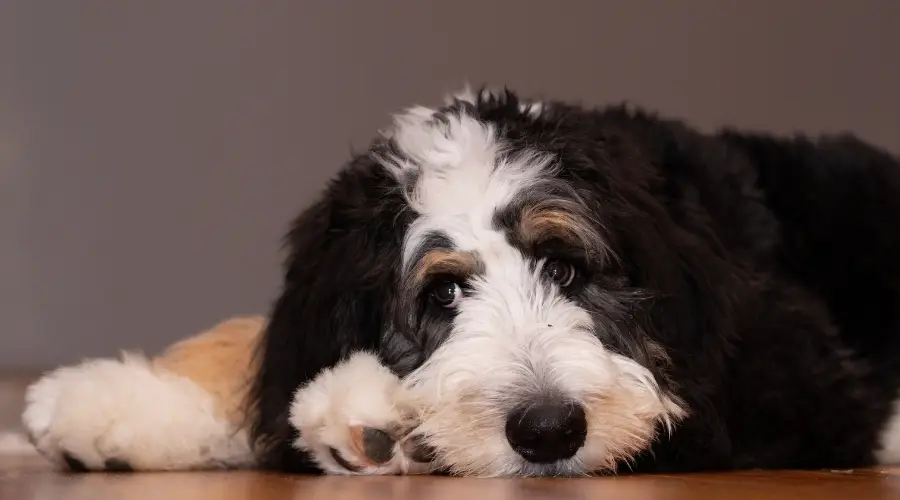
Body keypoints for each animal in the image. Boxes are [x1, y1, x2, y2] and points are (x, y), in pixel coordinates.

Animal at [19, 86, 900, 476]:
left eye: (564, 267)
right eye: (443, 294)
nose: (548, 430)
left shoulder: (794, 379)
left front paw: (369, 412)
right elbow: (256, 345)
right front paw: (120, 402)